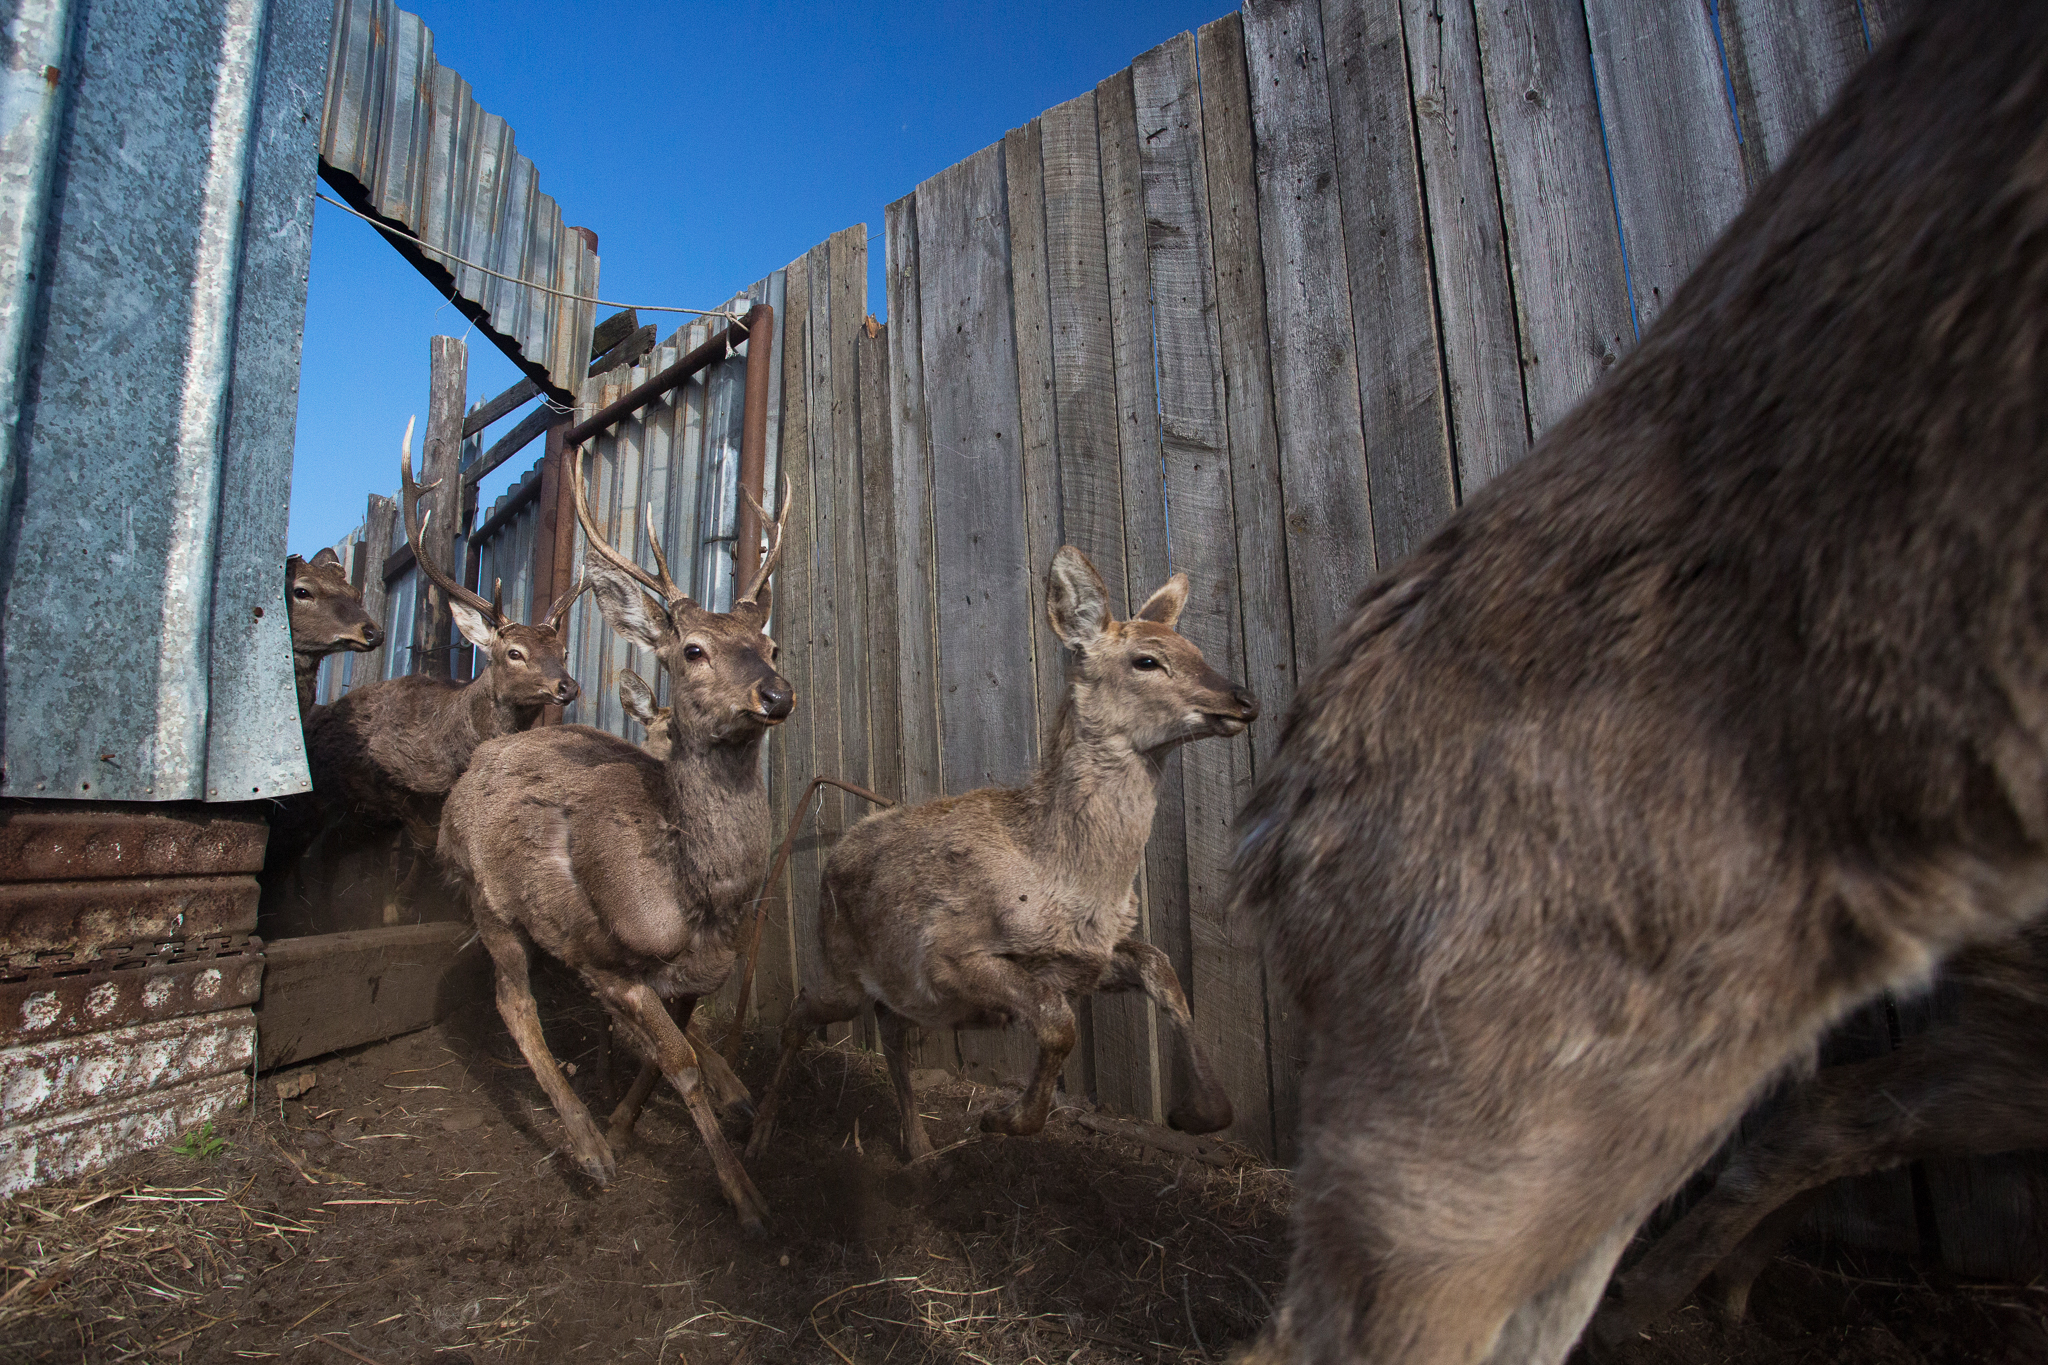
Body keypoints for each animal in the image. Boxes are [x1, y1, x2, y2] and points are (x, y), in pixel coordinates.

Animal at [435, 453, 792, 1232]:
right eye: (693, 650)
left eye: (772, 645)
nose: (776, 694)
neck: (696, 898)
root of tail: (475, 764)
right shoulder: (601, 955)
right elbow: (679, 1061)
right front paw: (746, 1198)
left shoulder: (702, 972)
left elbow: (669, 1054)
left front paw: (631, 1123)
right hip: (487, 899)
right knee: (514, 1004)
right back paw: (588, 1148)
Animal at [745, 545, 1257, 1162]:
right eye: (1147, 660)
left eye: (1198, 650)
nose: (1244, 699)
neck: (1065, 876)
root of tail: (837, 851)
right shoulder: (948, 955)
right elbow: (1060, 1023)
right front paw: (1003, 1118)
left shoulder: (1084, 959)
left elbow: (1161, 966)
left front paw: (1202, 1112)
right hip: (841, 967)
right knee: (800, 1010)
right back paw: (760, 1135)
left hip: (891, 984)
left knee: (891, 1034)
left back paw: (917, 1145)